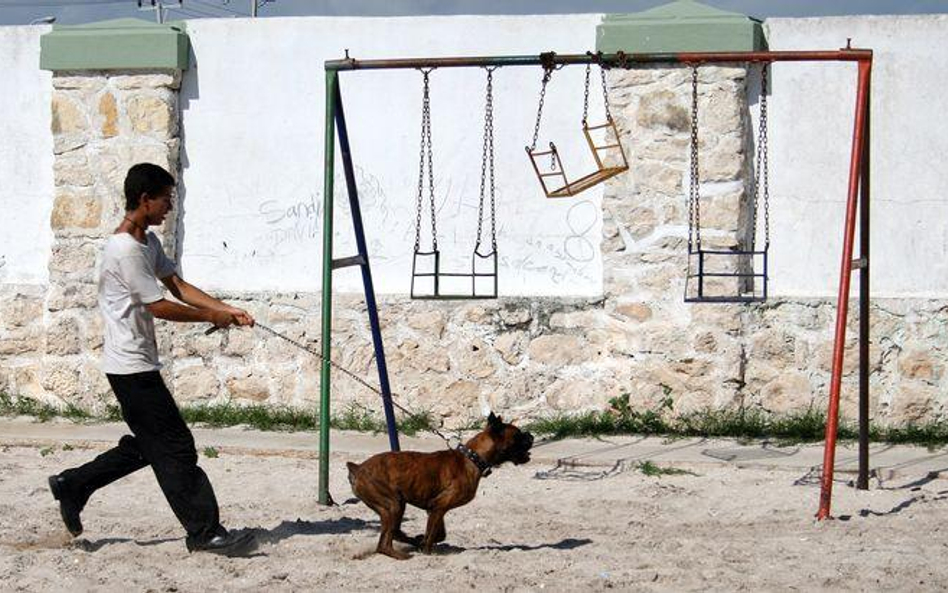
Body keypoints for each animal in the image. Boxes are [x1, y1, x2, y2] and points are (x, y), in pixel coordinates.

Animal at [346, 412, 532, 560]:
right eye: (517, 435)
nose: (531, 435)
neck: (472, 458)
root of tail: (357, 468)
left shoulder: (436, 508)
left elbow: (438, 533)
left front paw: (422, 540)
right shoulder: (439, 506)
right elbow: (431, 537)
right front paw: (426, 551)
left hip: (397, 505)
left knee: (396, 533)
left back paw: (411, 541)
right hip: (393, 505)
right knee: (384, 544)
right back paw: (401, 554)